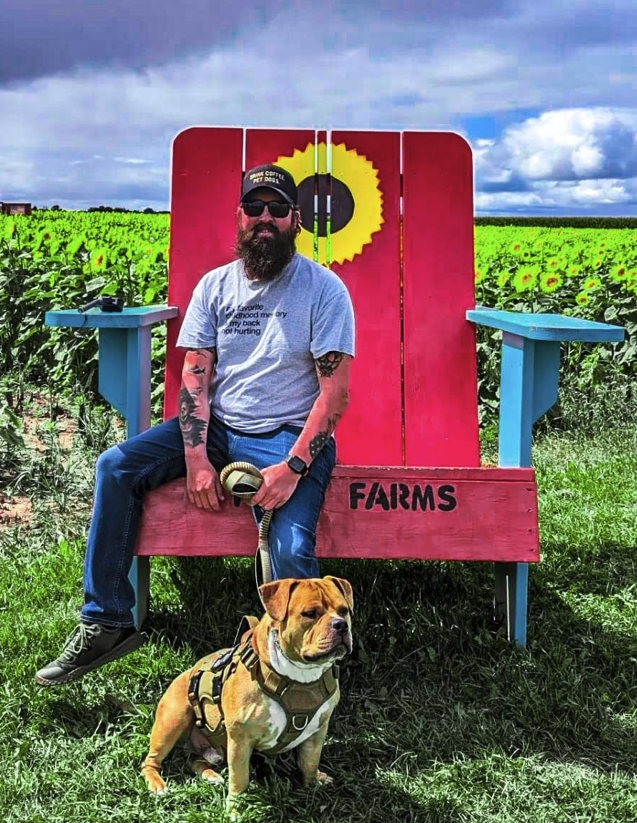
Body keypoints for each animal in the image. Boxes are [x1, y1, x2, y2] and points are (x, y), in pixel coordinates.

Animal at [140, 576, 352, 816]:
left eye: (344, 610)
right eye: (310, 613)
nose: (341, 624)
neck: (301, 677)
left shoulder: (317, 731)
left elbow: (309, 761)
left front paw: (313, 782)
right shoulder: (240, 740)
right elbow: (240, 779)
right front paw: (235, 809)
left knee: (196, 761)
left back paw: (211, 775)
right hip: (172, 722)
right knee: (150, 761)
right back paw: (158, 785)